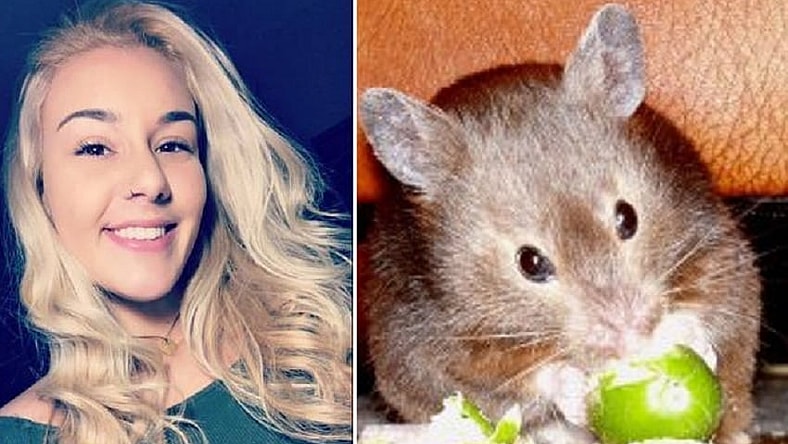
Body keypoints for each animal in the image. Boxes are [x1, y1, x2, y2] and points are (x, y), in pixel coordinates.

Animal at [359, 4, 761, 444]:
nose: (632, 337)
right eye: (530, 263)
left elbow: (709, 312)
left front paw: (677, 337)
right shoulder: (432, 344)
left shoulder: (719, 250)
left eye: (628, 218)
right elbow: (513, 381)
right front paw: (575, 388)